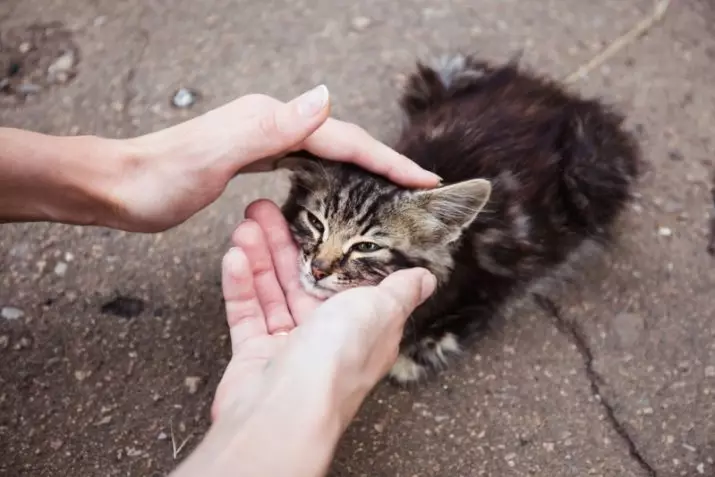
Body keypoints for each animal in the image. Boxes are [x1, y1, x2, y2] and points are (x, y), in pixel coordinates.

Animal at [280, 54, 644, 384]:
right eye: (316, 223)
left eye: (367, 246)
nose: (318, 270)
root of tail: (556, 96)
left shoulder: (495, 274)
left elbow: (478, 309)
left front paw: (418, 351)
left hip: (590, 168)